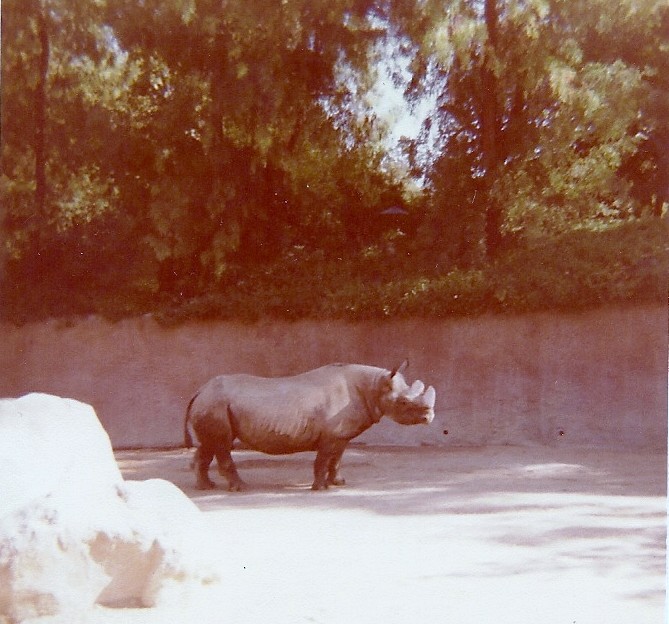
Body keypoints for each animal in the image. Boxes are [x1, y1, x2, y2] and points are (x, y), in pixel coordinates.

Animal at [183, 362, 435, 491]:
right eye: (404, 403)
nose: (429, 417)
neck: (374, 386)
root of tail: (199, 391)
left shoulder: (341, 434)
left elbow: (337, 459)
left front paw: (339, 483)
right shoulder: (329, 435)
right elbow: (323, 460)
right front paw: (320, 488)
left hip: (212, 404)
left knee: (209, 444)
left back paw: (206, 487)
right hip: (215, 404)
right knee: (222, 444)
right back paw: (241, 488)